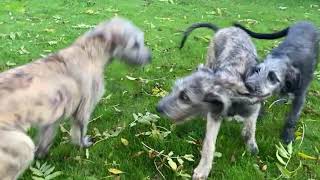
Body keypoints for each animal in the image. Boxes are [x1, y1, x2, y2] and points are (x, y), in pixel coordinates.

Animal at [0, 17, 151, 180]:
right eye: (135, 44)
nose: (150, 57)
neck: (89, 52)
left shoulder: (53, 116)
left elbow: (45, 138)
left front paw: (42, 154)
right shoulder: (84, 108)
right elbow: (79, 132)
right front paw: (83, 145)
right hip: (21, 146)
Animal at [156, 23, 262, 179]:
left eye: (185, 97)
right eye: (175, 89)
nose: (158, 108)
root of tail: (223, 29)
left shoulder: (254, 106)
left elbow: (250, 129)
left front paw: (251, 146)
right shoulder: (214, 114)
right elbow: (209, 144)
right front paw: (203, 169)